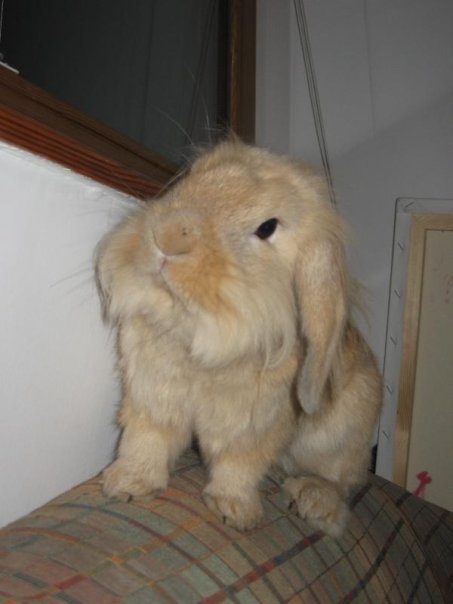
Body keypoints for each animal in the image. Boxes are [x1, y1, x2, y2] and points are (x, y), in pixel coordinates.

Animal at [96, 139, 382, 536]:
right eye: (193, 175)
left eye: (267, 228)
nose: (167, 236)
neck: (197, 334)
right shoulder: (151, 396)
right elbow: (147, 438)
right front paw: (126, 484)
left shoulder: (256, 424)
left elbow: (240, 463)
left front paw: (235, 512)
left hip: (344, 433)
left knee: (344, 480)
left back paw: (313, 501)